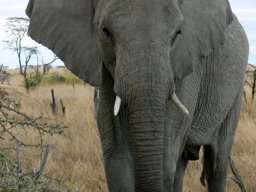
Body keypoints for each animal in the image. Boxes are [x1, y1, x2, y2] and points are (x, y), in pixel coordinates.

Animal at [25, 0, 248, 191]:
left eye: (177, 34)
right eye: (105, 32)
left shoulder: (187, 65)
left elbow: (165, 159)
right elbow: (118, 158)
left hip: (236, 87)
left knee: (216, 162)